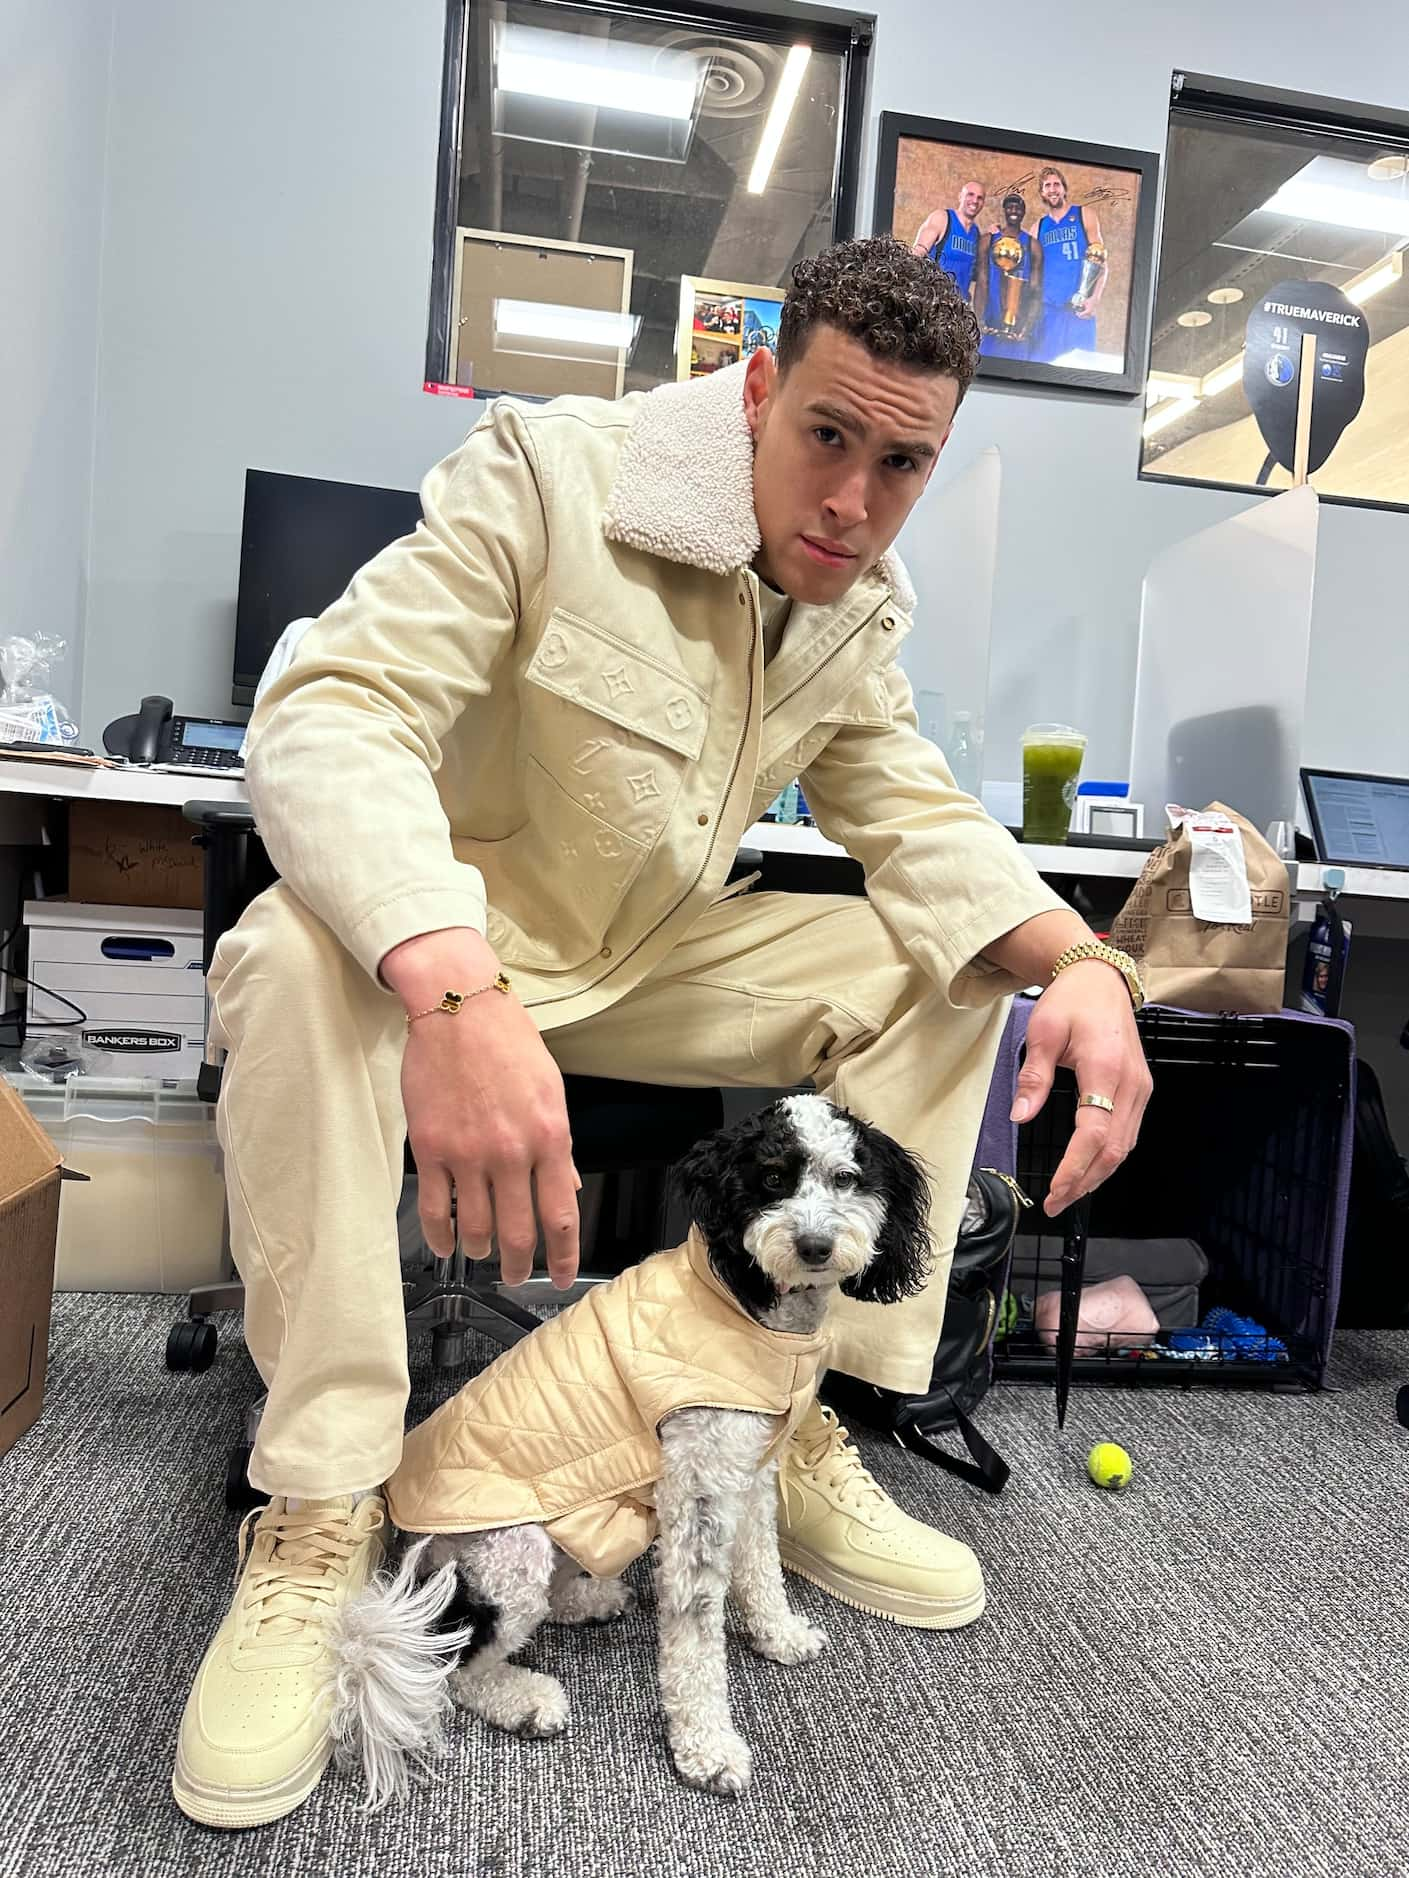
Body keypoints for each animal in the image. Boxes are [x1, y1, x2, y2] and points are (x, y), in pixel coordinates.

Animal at [325, 1096, 931, 1802]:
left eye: (846, 1178)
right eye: (772, 1179)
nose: (814, 1247)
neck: (746, 1300)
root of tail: (407, 1571)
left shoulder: (749, 1473)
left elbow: (761, 1566)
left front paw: (778, 1635)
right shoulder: (697, 1493)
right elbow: (696, 1633)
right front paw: (706, 1746)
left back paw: (592, 1600)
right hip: (510, 1554)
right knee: (453, 1665)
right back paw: (524, 1698)